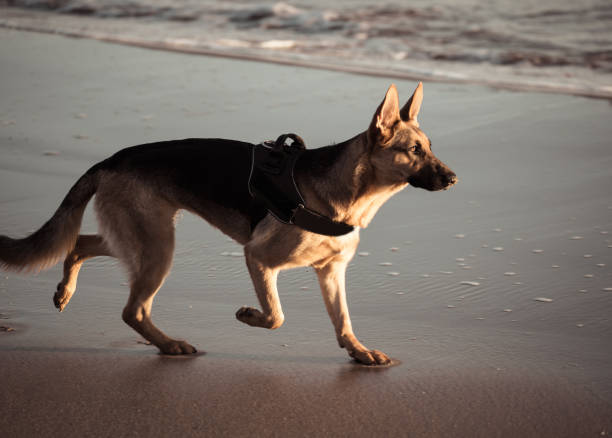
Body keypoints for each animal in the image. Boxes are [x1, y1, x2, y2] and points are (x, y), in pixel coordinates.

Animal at [0, 84, 454, 364]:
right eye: (414, 150)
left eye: (430, 147)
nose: (453, 179)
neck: (350, 193)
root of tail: (112, 159)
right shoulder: (258, 258)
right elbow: (276, 316)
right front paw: (249, 316)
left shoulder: (331, 272)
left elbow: (343, 321)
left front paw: (358, 352)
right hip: (157, 247)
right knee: (132, 309)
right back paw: (169, 345)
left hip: (140, 239)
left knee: (79, 244)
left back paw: (65, 290)